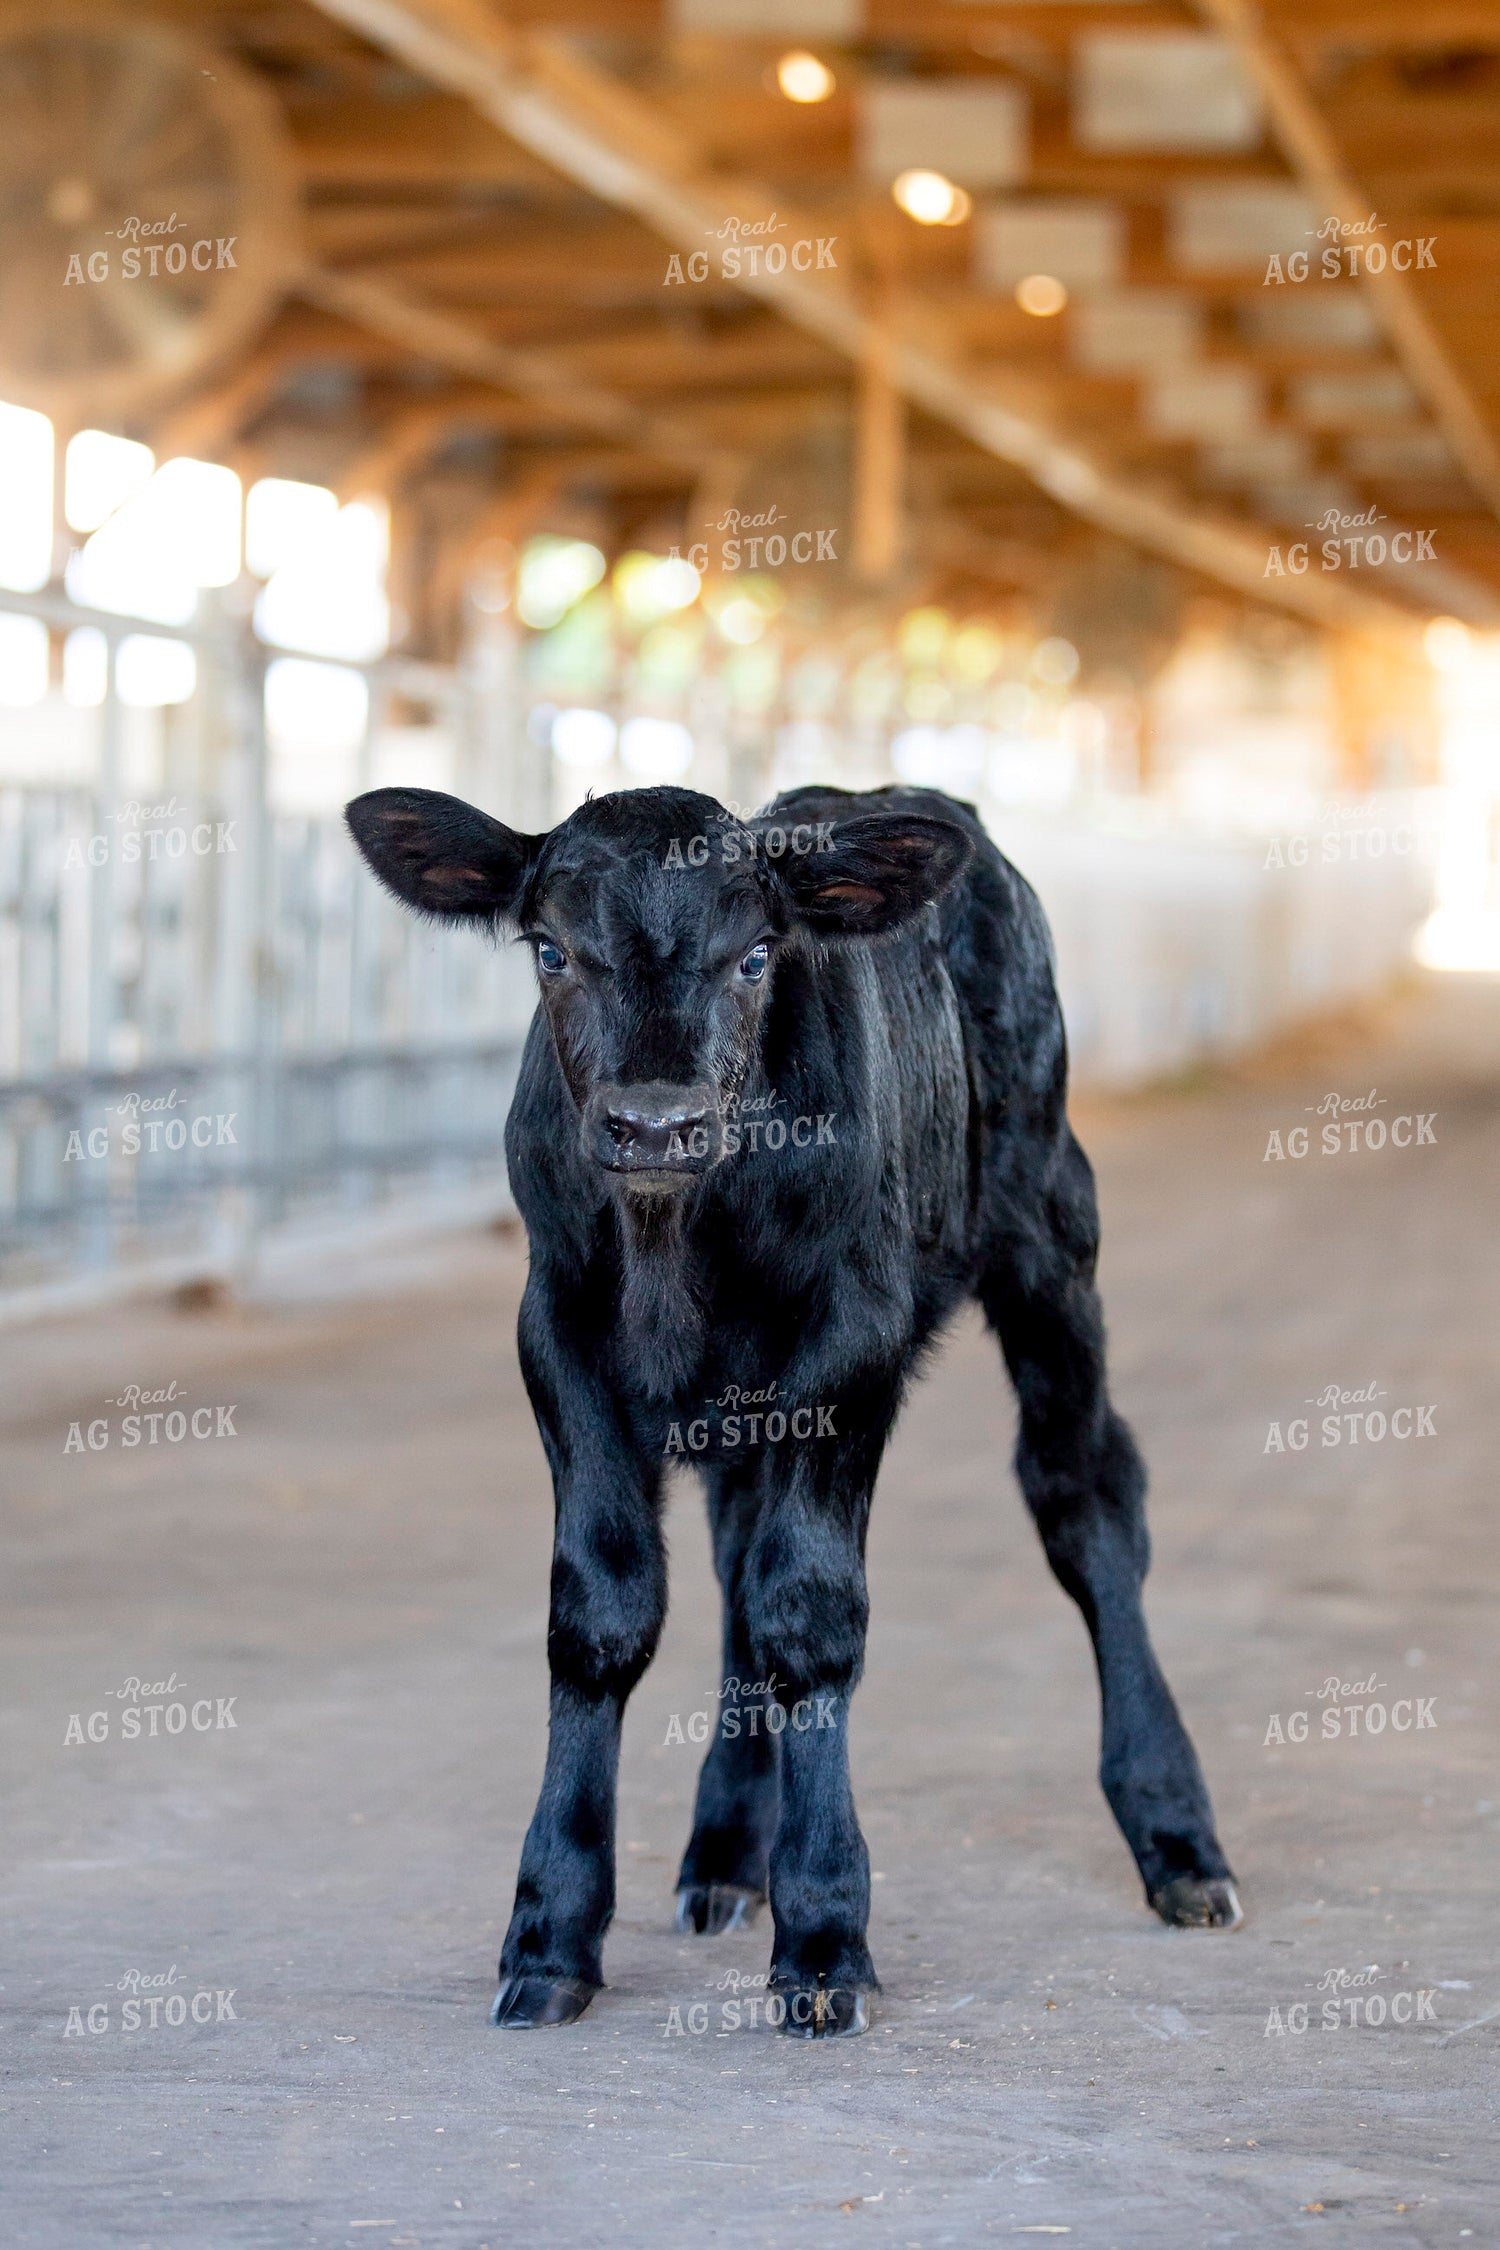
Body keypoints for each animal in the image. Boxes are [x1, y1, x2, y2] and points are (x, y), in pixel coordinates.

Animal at [345, 779, 1240, 2041]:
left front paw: (822, 1935)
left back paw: (1177, 1837)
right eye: (550, 950)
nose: (654, 1123)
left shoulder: (853, 1335)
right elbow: (604, 1612)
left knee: (1086, 1501)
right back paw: (726, 1851)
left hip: (1052, 1232)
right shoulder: (554, 1329)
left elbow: (809, 1615)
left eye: (758, 953)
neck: (676, 1237)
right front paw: (553, 1931)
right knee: (734, 1562)